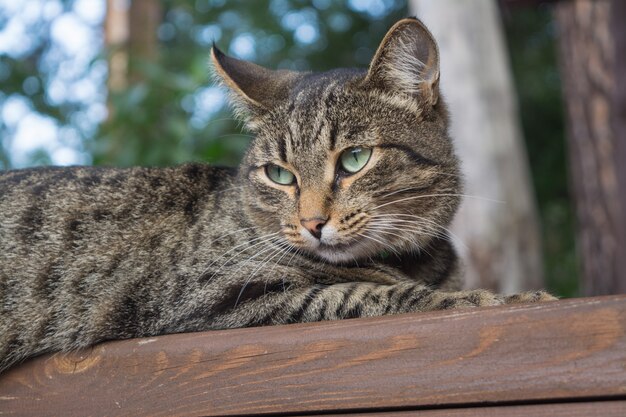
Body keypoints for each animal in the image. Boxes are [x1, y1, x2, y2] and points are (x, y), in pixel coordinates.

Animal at [0, 17, 552, 372]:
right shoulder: (212, 297)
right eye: (278, 174)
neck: (414, 259)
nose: (312, 223)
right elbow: (370, 293)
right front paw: (498, 298)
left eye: (354, 159)